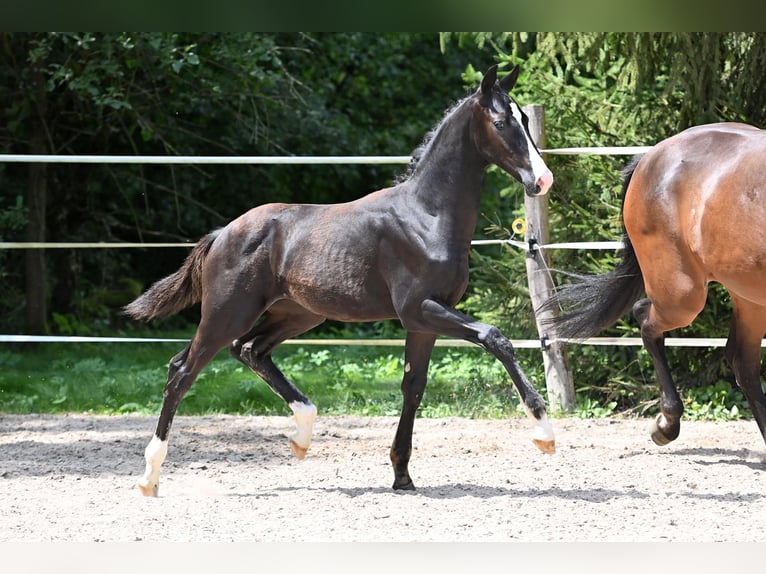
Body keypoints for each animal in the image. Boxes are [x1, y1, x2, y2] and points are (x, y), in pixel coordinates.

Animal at [126, 64, 560, 500]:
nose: (543, 180)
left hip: (298, 315)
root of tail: (223, 233)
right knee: (183, 370)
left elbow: (413, 388)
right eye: (501, 122)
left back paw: (301, 436)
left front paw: (402, 475)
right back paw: (149, 477)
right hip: (228, 313)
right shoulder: (419, 309)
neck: (426, 216)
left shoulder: (424, 322)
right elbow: (495, 337)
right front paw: (543, 431)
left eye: (526, 120)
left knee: (249, 350)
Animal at [544, 124, 766, 452]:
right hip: (682, 295)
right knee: (646, 319)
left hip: (749, 295)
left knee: (743, 362)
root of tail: (650, 156)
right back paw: (666, 425)